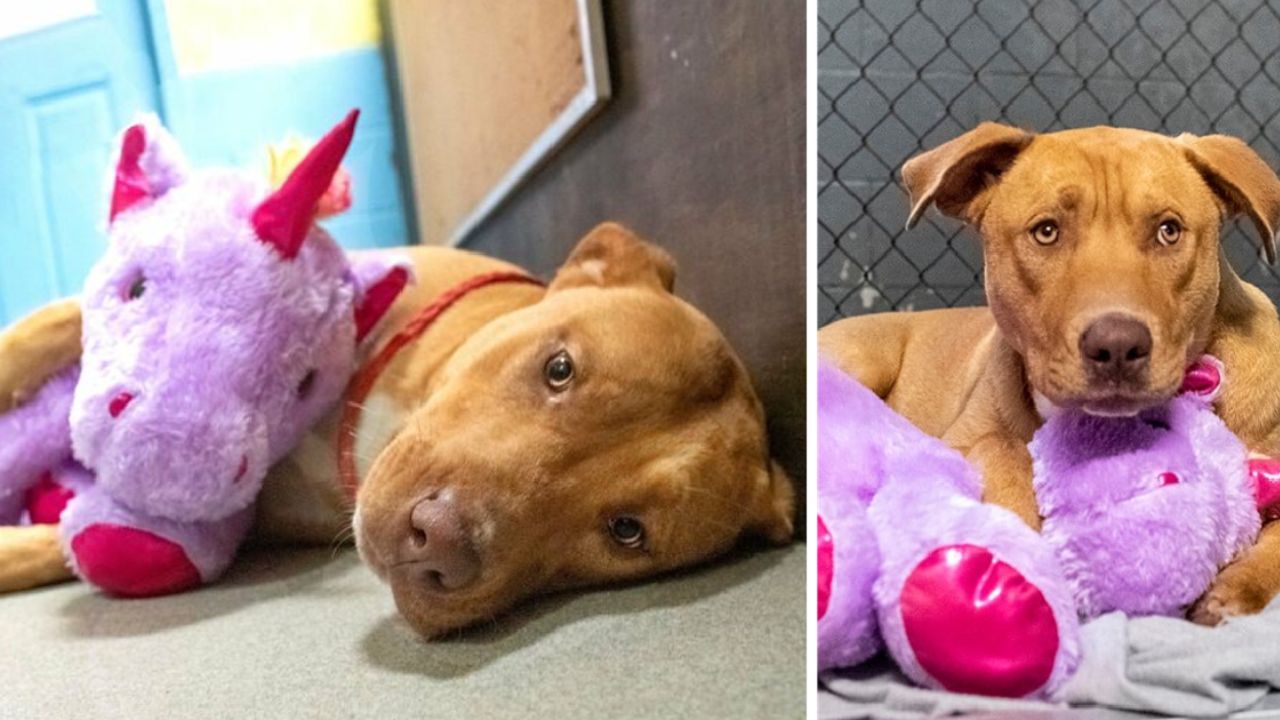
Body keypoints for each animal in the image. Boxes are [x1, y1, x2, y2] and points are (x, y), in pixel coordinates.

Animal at [819, 122, 1280, 622]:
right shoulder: (961, 440)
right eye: (1046, 232)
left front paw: (1236, 587)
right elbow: (1002, 453)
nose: (1117, 345)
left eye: (1169, 230)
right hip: (861, 359)